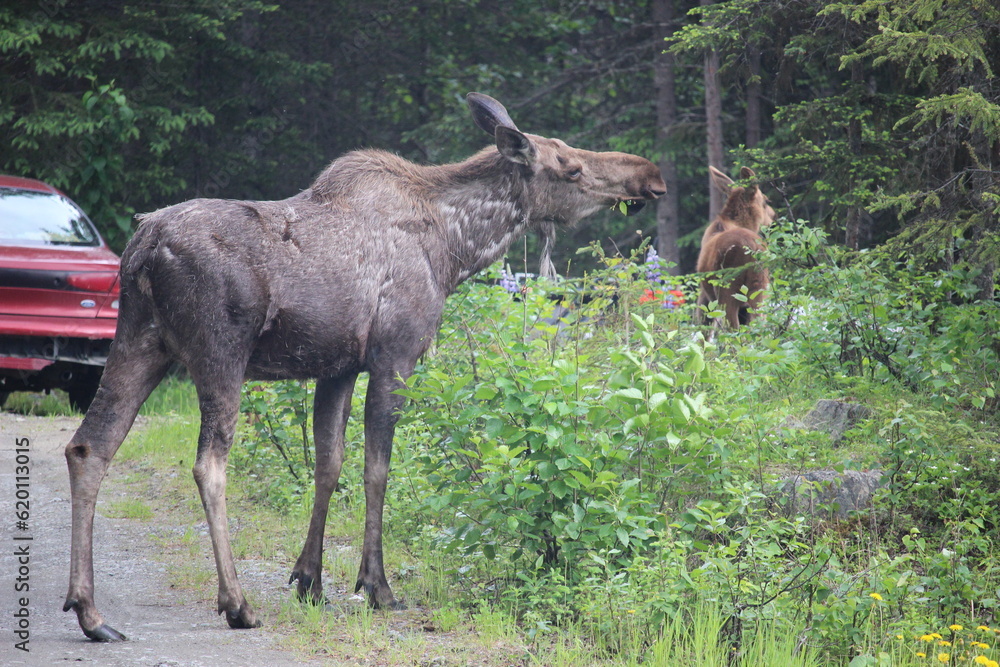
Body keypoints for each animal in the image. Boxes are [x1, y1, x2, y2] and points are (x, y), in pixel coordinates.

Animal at [62, 92, 666, 641]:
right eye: (571, 167)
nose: (651, 176)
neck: (455, 250)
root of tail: (144, 246)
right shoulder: (394, 355)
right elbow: (377, 468)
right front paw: (376, 586)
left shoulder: (337, 366)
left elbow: (328, 465)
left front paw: (309, 580)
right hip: (219, 352)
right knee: (208, 465)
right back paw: (236, 603)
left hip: (142, 342)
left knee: (90, 446)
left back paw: (91, 613)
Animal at [694, 166, 775, 329]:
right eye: (766, 201)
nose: (773, 217)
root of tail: (752, 249)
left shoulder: (705, 294)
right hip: (758, 288)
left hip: (728, 289)